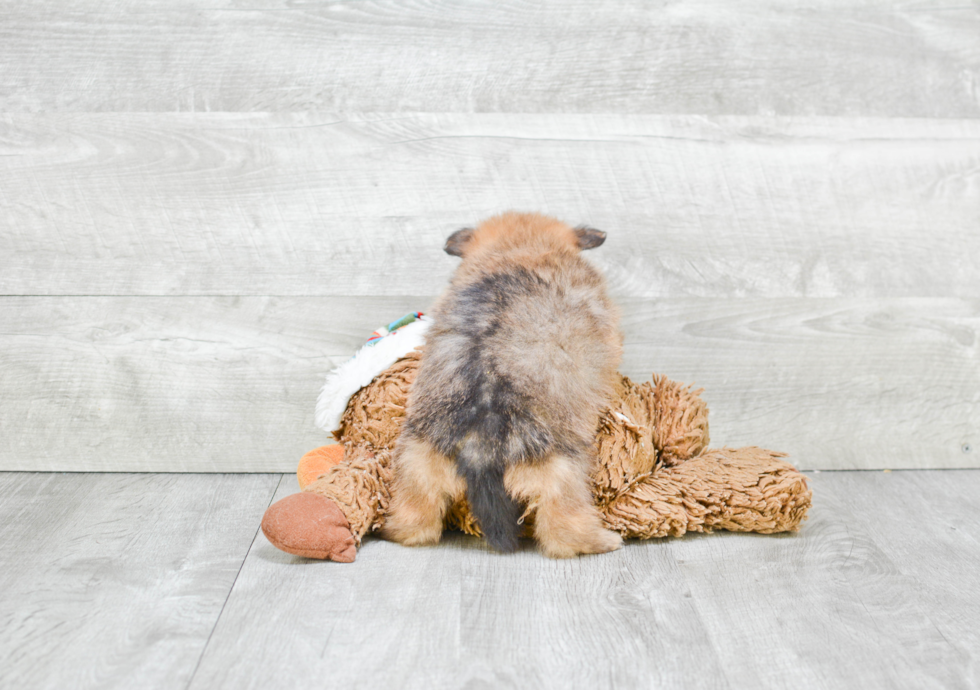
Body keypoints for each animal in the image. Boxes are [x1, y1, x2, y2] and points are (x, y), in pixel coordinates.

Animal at [382, 212, 620, 556]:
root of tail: (479, 446)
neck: (519, 249)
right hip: (563, 471)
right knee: (563, 528)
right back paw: (604, 540)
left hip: (415, 462)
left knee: (414, 520)